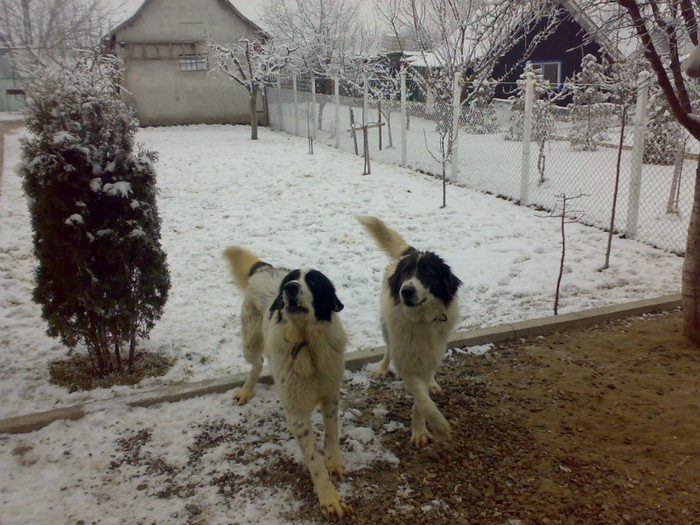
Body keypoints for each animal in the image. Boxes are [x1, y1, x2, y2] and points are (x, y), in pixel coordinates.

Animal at [224, 246, 348, 516]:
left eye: (313, 281)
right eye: (292, 279)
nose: (289, 287)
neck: (307, 343)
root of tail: (265, 268)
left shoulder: (330, 394)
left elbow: (332, 433)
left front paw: (334, 462)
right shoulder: (296, 412)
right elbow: (313, 460)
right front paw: (329, 497)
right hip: (250, 341)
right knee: (257, 363)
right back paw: (246, 390)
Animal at [358, 216, 462, 446]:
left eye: (428, 274)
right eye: (406, 273)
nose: (405, 290)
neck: (421, 321)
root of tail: (410, 250)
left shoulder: (430, 354)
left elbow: (420, 400)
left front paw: (421, 429)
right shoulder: (405, 360)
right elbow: (421, 398)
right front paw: (439, 427)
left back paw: (432, 384)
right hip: (386, 329)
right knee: (388, 348)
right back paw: (382, 369)